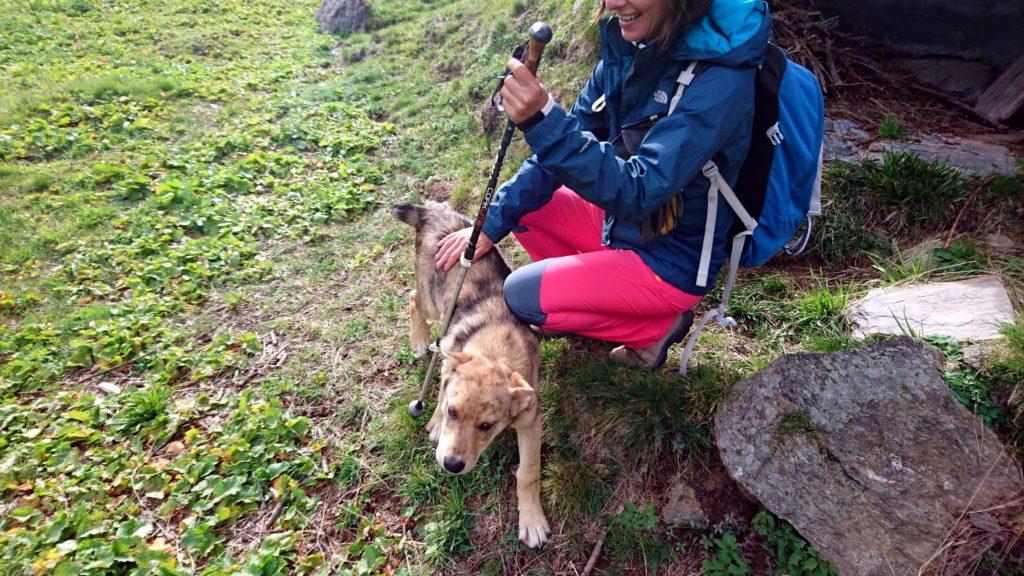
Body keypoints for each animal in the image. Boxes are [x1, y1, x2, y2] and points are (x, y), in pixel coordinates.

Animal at [391, 201, 552, 545]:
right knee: (413, 299)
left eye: (487, 426)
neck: (494, 349)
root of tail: (431, 211)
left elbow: (528, 472)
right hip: (431, 300)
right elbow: (441, 389)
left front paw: (531, 519)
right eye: (454, 413)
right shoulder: (451, 355)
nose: (452, 465)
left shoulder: (531, 419)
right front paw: (436, 423)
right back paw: (419, 340)